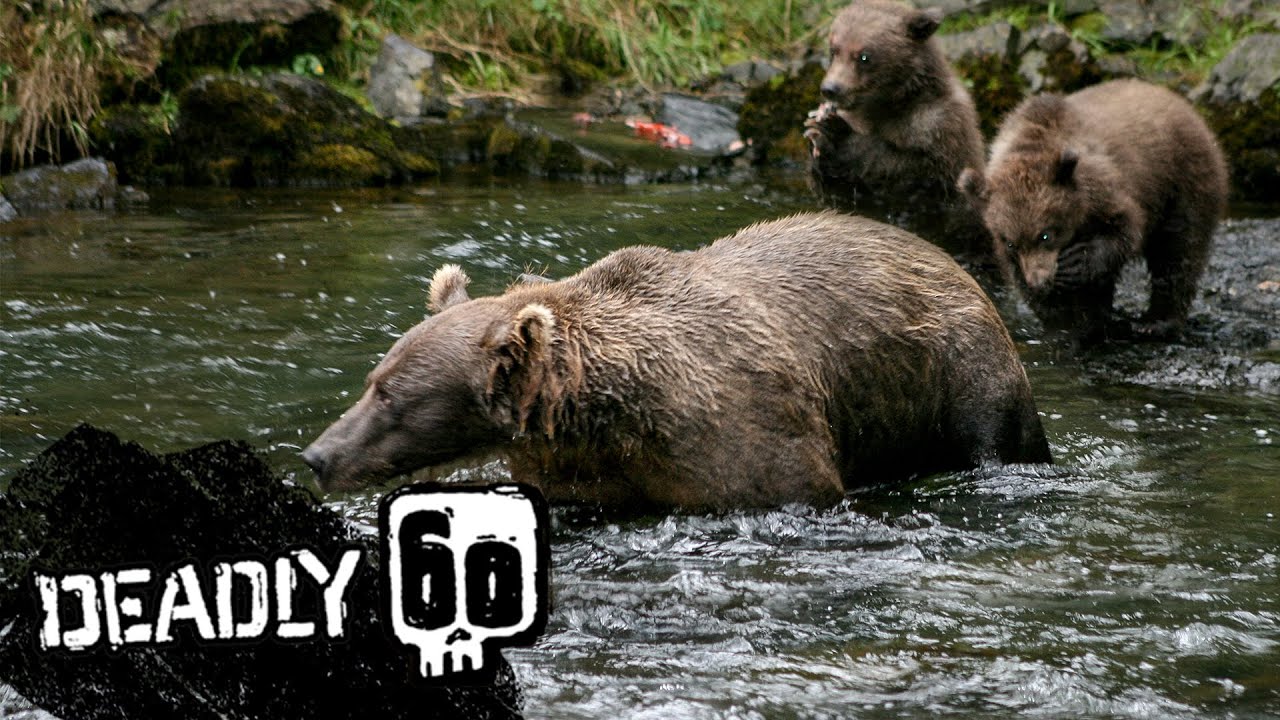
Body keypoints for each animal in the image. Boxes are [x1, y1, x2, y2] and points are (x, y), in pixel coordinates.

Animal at [302, 212, 1052, 512]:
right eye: (374, 381)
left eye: (391, 397)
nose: (316, 455)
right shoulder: (583, 471)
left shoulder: (745, 436)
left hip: (959, 368)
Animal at [804, 0, 988, 256]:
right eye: (834, 50)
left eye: (864, 56)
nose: (831, 89)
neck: (889, 104)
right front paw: (818, 138)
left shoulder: (940, 128)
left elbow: (914, 170)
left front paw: (834, 133)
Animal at [958, 79, 1229, 342]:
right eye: (1011, 242)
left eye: (1046, 234)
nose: (1039, 282)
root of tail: (1177, 100)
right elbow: (1023, 279)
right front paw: (1064, 325)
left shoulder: (1103, 190)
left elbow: (1124, 231)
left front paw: (1076, 263)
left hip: (1183, 180)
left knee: (1178, 251)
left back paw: (1155, 322)